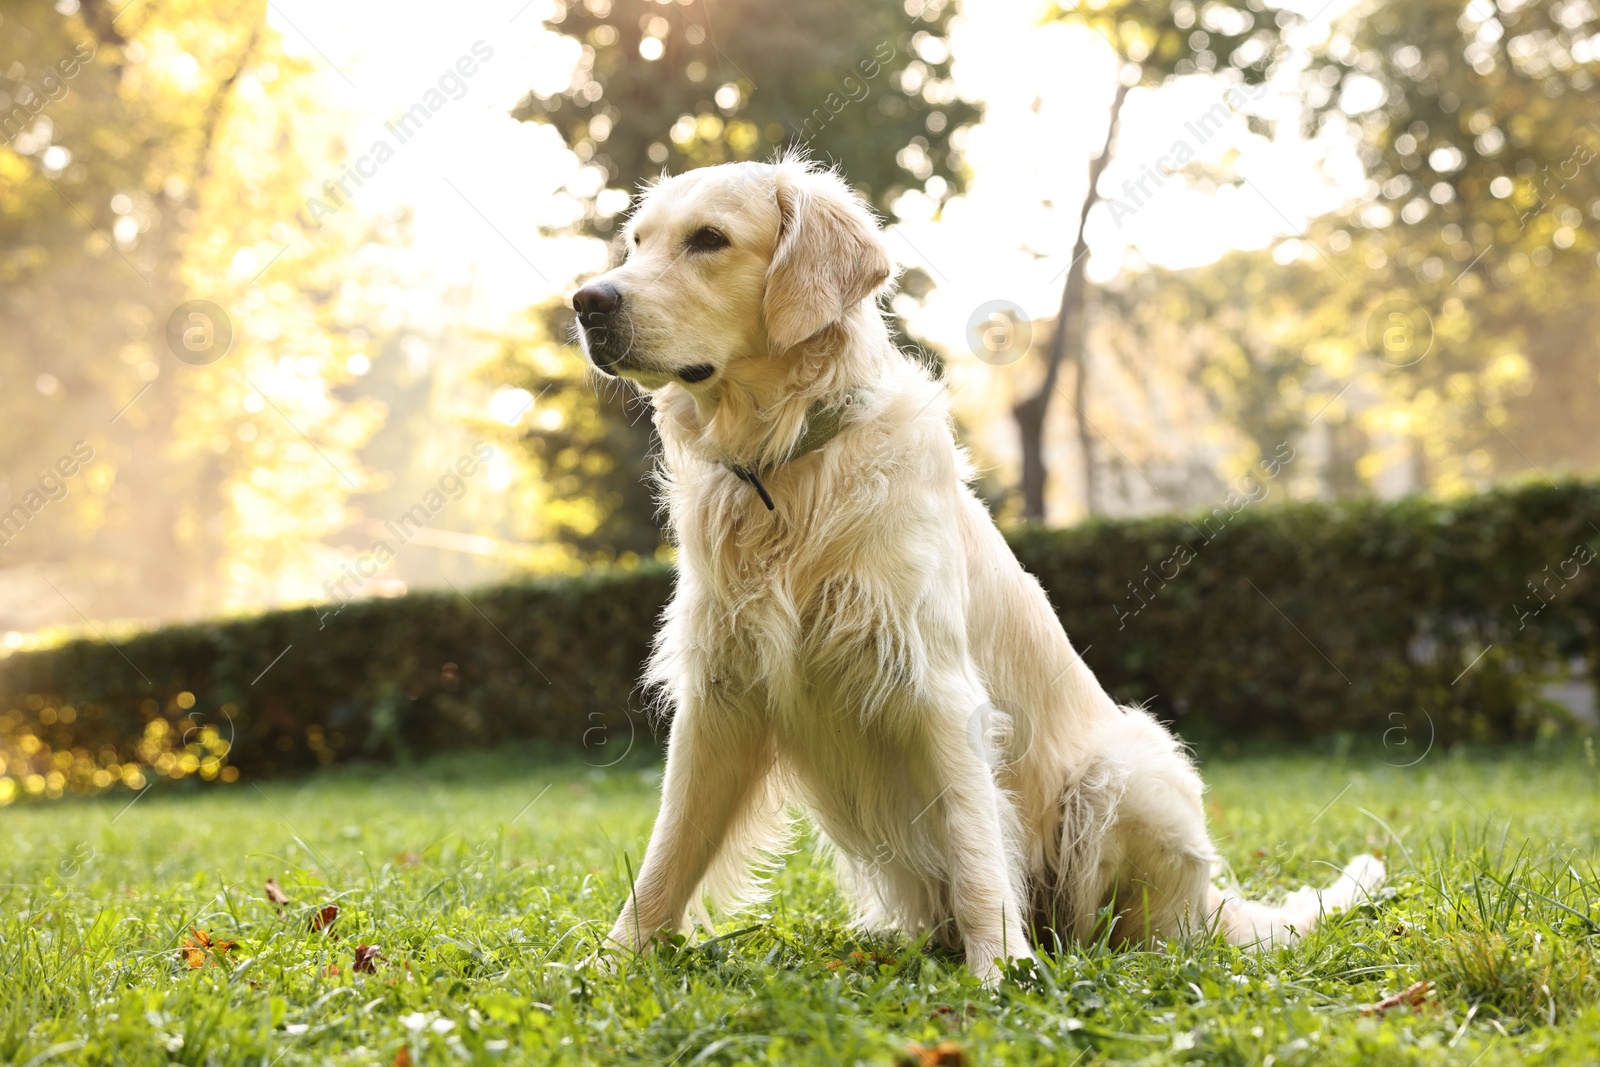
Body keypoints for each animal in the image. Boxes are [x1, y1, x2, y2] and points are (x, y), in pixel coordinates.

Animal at [569, 154, 1382, 979]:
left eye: (709, 238)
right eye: (637, 242)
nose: (586, 302)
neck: (787, 466)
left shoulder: (936, 688)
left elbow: (974, 846)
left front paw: (999, 972)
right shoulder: (720, 694)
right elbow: (665, 858)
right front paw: (606, 967)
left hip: (1129, 766)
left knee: (1137, 928)